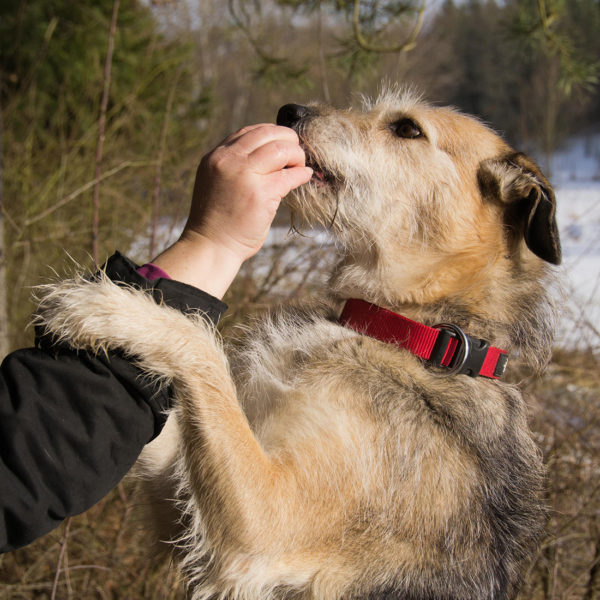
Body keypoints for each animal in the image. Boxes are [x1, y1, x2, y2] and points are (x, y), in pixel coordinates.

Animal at [36, 89, 564, 600]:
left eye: (407, 128)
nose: (289, 111)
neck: (417, 334)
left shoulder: (266, 525)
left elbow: (201, 347)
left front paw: (106, 307)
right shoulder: (182, 506)